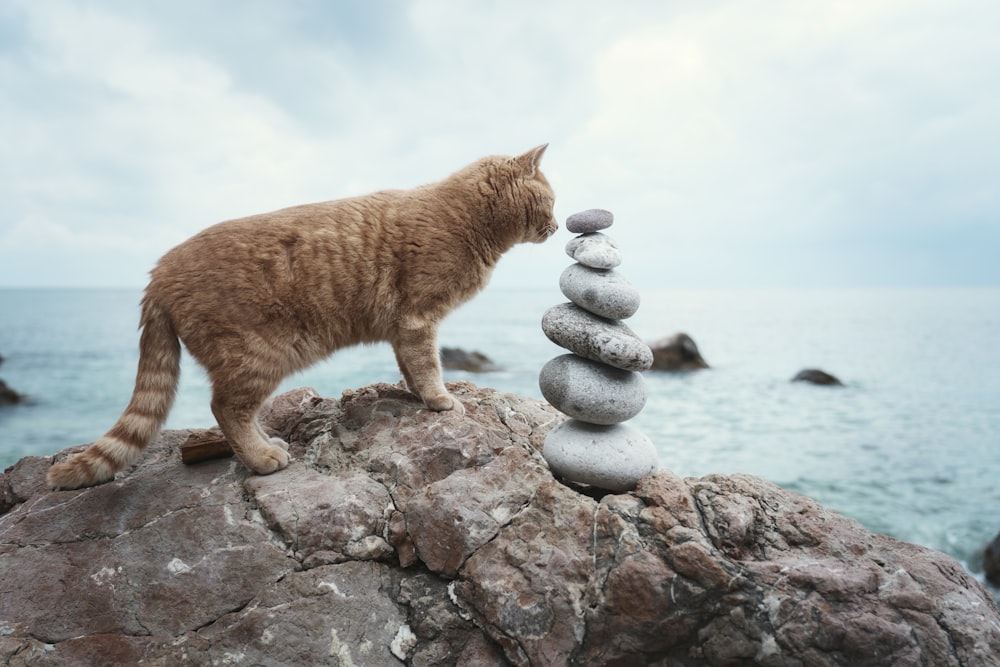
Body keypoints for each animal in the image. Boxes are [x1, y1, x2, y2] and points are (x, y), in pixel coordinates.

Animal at [48, 146, 556, 490]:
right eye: (550, 201)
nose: (555, 225)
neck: (468, 218)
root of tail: (157, 271)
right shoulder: (419, 318)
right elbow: (429, 365)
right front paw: (440, 400)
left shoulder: (405, 327)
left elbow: (411, 367)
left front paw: (418, 394)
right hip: (256, 357)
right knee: (225, 409)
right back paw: (261, 458)